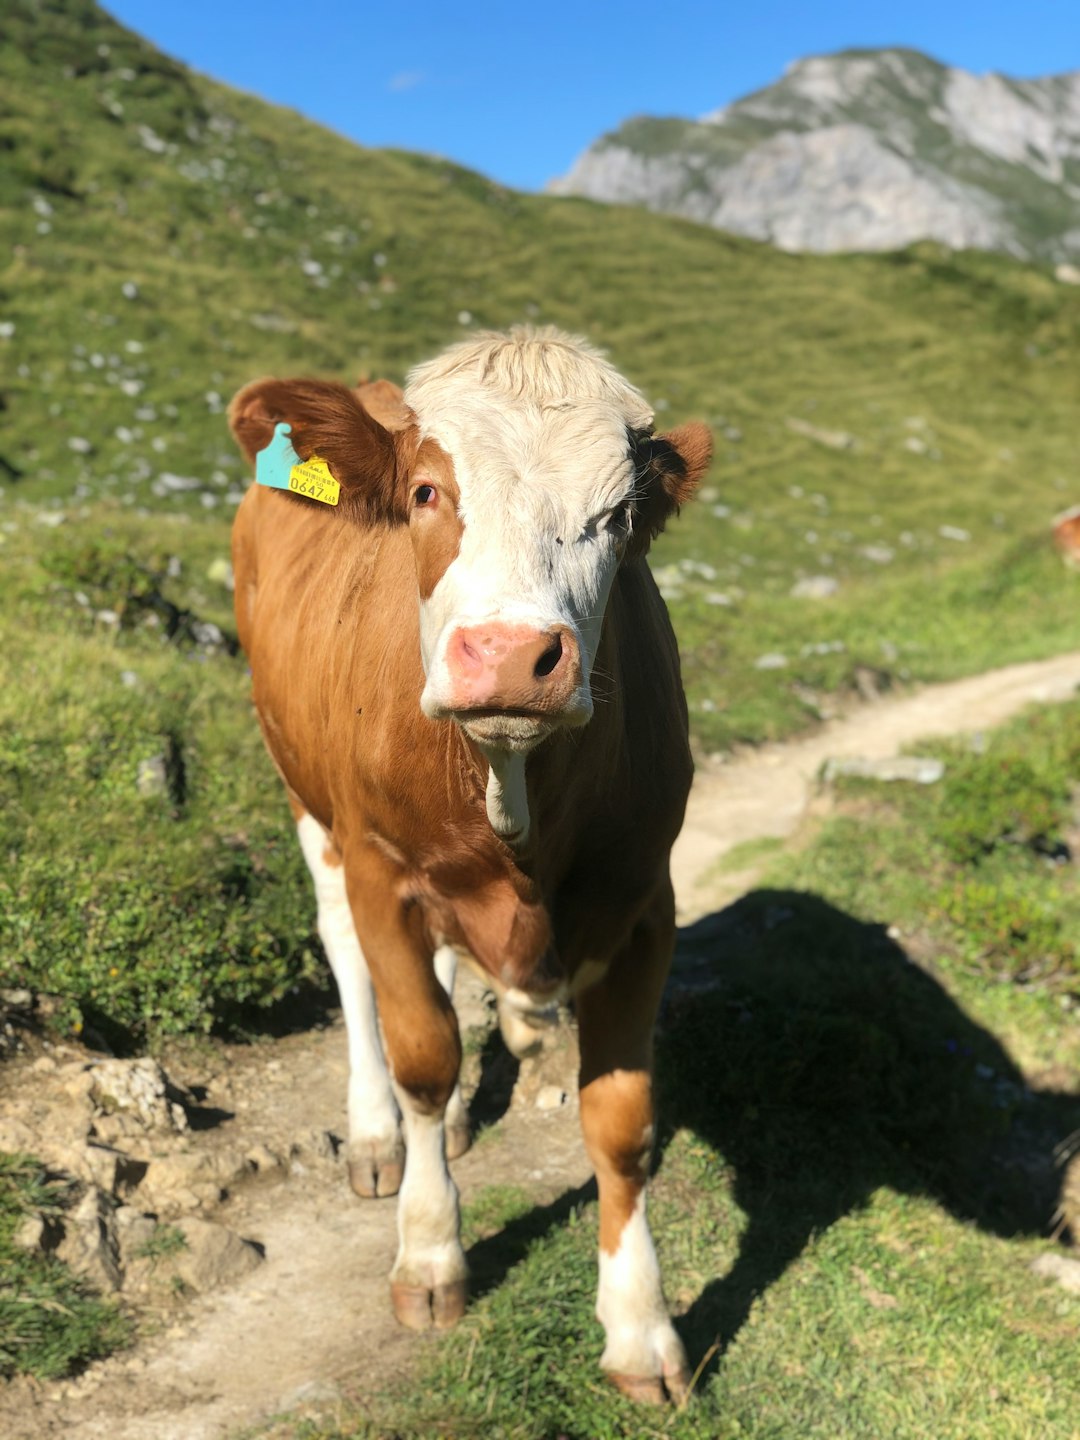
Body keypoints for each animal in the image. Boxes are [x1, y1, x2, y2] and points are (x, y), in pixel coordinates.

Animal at [230, 329, 711, 1405]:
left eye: (619, 516)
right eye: (424, 492)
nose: (510, 654)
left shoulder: (643, 900)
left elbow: (621, 1121)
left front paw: (640, 1329)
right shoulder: (381, 868)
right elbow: (422, 1054)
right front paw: (429, 1257)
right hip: (305, 795)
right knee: (348, 954)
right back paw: (378, 1137)